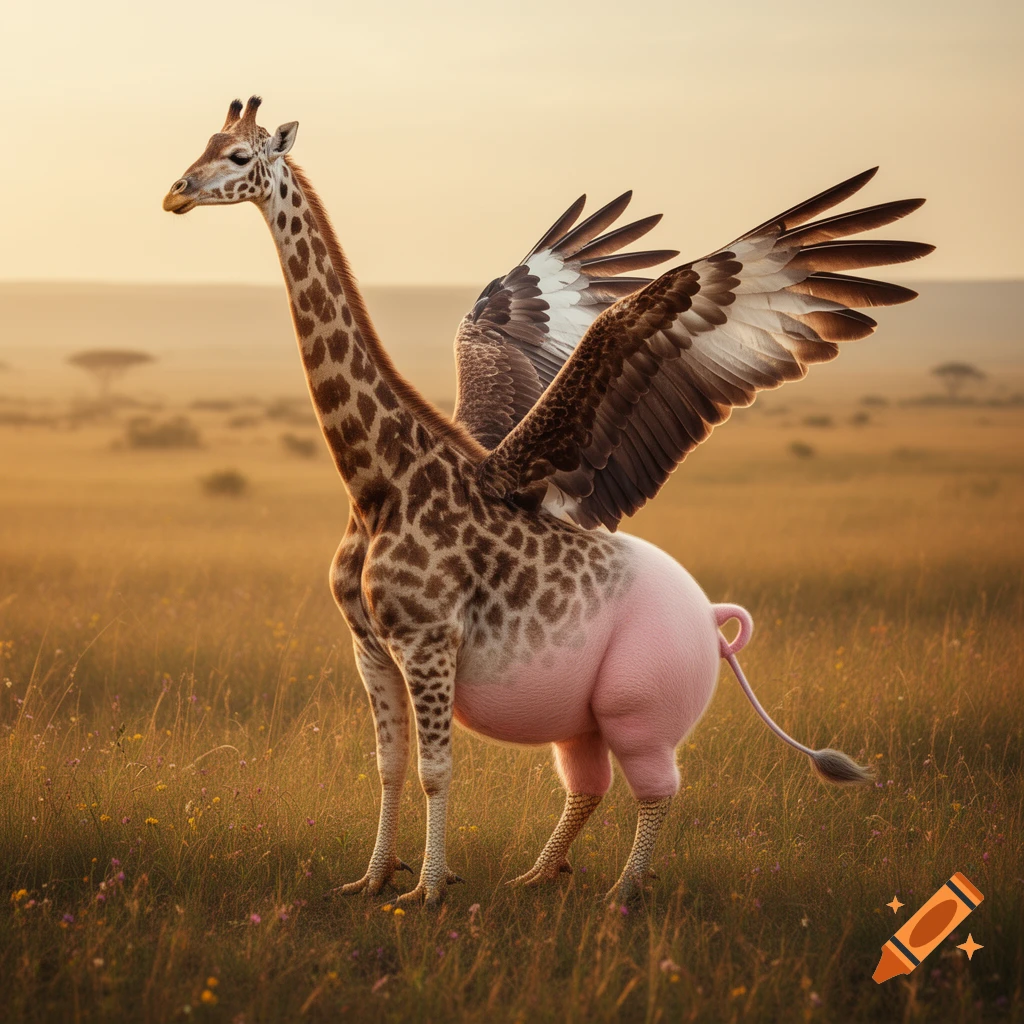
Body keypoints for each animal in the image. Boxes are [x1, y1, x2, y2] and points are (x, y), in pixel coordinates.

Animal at [164, 97, 930, 906]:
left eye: (240, 156)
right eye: (207, 142)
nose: (176, 194)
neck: (374, 481)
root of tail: (711, 617)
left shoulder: (429, 640)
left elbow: (436, 772)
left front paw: (426, 890)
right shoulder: (368, 645)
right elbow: (389, 767)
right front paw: (372, 879)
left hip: (634, 692)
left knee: (654, 781)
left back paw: (622, 891)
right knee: (588, 777)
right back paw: (541, 871)